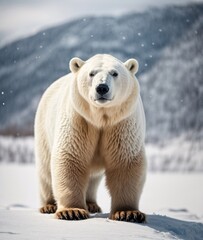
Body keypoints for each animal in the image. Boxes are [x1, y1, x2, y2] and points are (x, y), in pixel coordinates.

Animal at [34, 53, 146, 222]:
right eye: (91, 73)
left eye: (114, 73)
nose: (102, 88)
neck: (101, 118)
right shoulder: (79, 120)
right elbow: (70, 158)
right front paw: (72, 211)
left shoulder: (122, 123)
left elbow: (125, 162)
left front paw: (128, 213)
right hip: (43, 129)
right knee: (45, 171)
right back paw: (48, 205)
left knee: (93, 178)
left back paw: (92, 204)